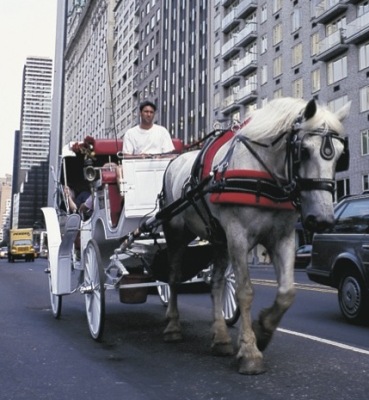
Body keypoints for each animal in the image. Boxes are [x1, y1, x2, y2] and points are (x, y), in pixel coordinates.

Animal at [160, 97, 350, 376]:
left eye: (339, 156)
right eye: (303, 151)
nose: (322, 220)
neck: (264, 171)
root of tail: (174, 161)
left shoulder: (282, 238)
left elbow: (287, 292)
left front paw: (263, 330)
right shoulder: (238, 236)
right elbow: (245, 292)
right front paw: (250, 351)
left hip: (219, 239)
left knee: (216, 283)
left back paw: (220, 338)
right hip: (176, 234)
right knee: (173, 278)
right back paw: (173, 326)